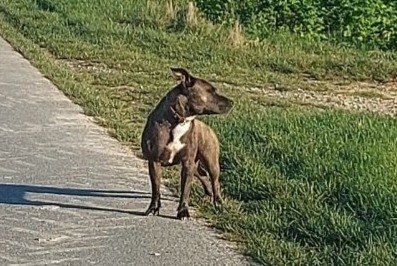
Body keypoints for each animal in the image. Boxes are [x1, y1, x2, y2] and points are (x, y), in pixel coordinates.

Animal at [141, 67, 232, 219]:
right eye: (211, 91)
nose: (231, 101)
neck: (179, 120)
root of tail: (208, 128)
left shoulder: (188, 163)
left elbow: (185, 190)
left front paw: (183, 211)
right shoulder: (154, 161)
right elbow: (156, 189)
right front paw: (153, 208)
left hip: (211, 161)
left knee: (215, 181)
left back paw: (218, 202)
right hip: (197, 166)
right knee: (203, 176)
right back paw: (208, 196)